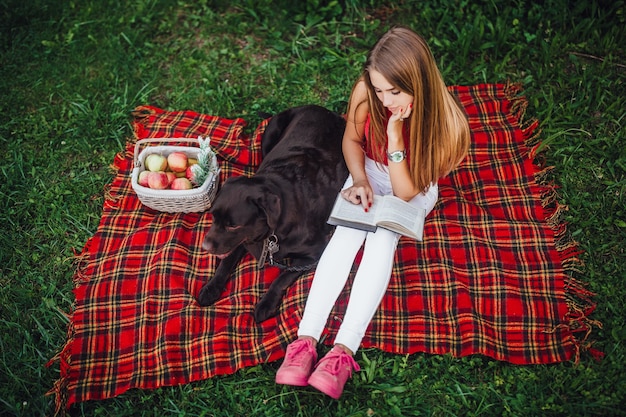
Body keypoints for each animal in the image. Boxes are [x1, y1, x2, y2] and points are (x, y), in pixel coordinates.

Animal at [197, 104, 348, 322]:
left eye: (234, 225)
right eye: (213, 216)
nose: (205, 246)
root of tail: (325, 110)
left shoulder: (315, 253)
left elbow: (281, 277)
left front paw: (266, 304)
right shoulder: (241, 240)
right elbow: (226, 262)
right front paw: (211, 288)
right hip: (269, 134)